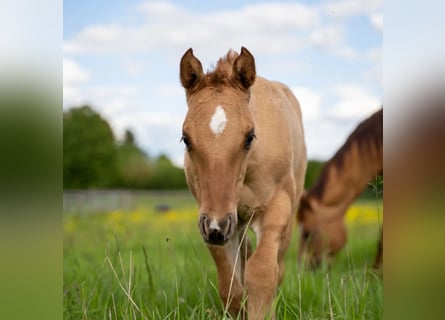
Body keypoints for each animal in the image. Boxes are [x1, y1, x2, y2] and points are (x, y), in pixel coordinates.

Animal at [179, 46, 306, 318]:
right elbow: (230, 284)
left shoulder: (275, 208)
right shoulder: (216, 220)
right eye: (186, 138)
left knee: (278, 264)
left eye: (249, 137)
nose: (216, 226)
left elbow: (263, 273)